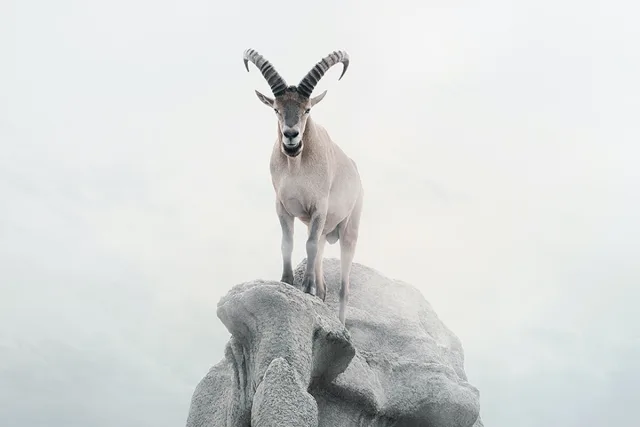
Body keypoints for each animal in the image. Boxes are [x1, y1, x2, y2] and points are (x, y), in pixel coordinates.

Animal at [244, 48, 364, 324]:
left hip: (349, 229)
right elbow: (287, 242)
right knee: (322, 268)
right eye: (276, 109)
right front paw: (287, 282)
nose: (291, 136)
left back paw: (340, 322)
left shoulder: (319, 207)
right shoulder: (283, 207)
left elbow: (308, 244)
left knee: (344, 287)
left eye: (307, 109)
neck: (297, 168)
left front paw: (306, 287)